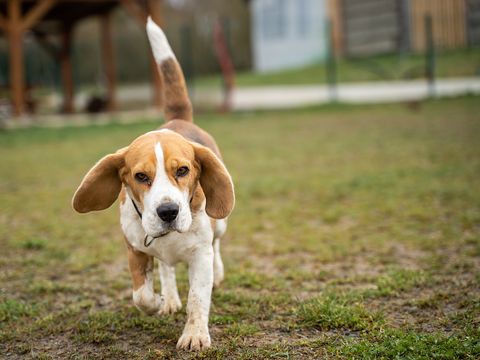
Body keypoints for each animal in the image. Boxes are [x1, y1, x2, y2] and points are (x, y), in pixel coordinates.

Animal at [71, 18, 234, 350]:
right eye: (141, 177)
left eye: (183, 170)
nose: (168, 212)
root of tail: (178, 120)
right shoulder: (135, 250)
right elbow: (141, 295)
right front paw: (158, 302)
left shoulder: (200, 256)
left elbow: (198, 299)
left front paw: (194, 335)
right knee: (167, 268)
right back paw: (169, 297)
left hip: (221, 224)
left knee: (217, 243)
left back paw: (218, 272)